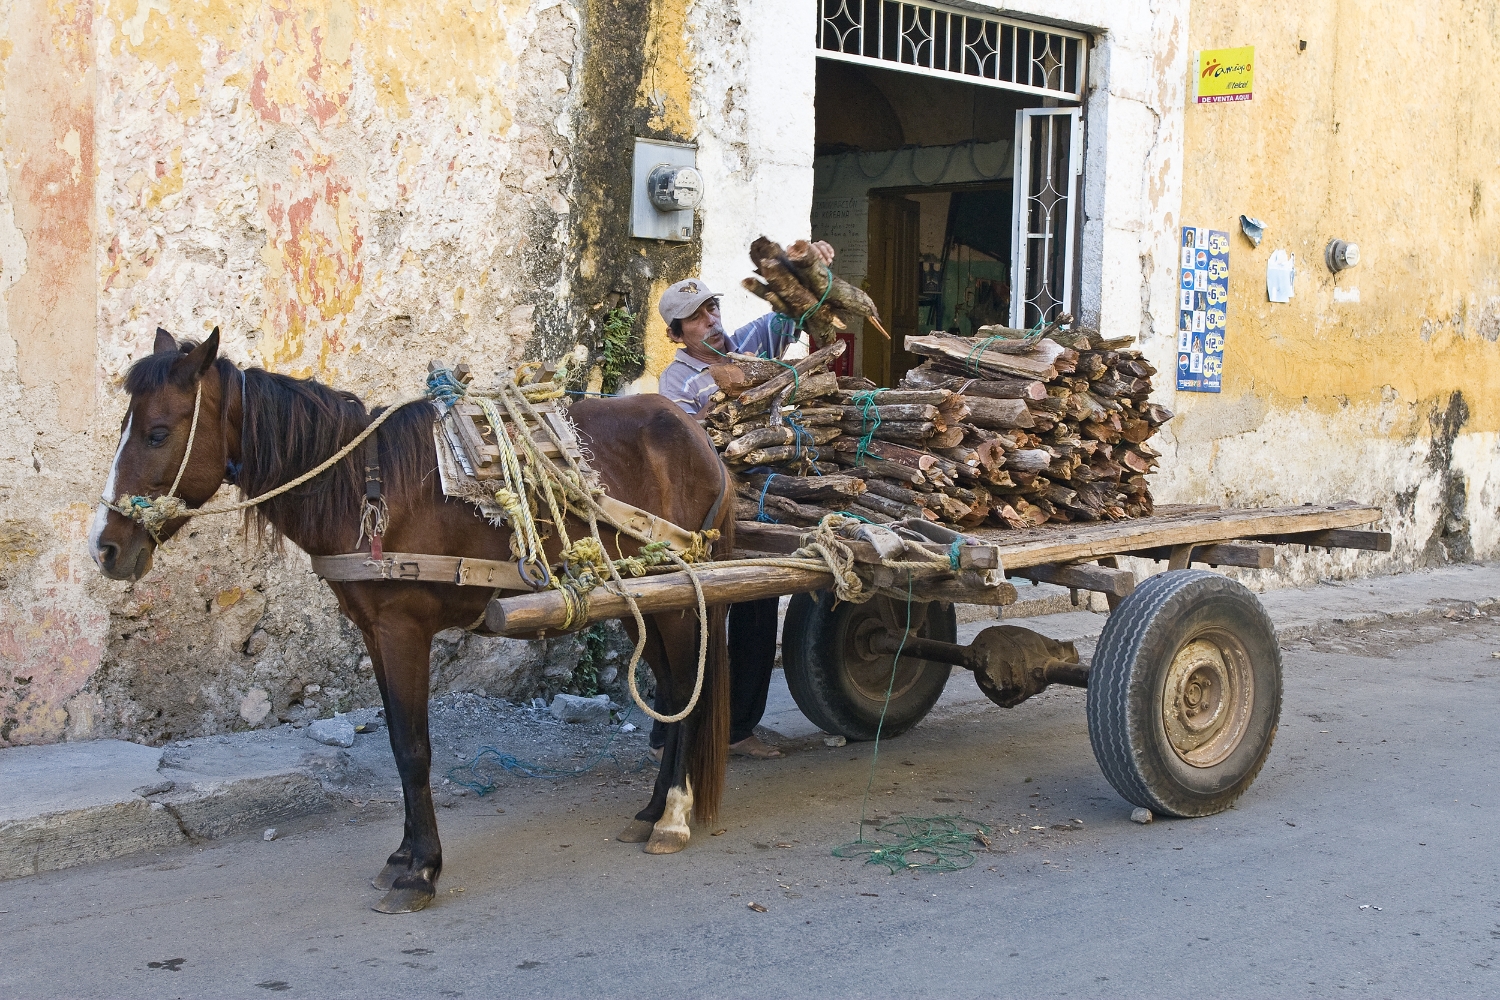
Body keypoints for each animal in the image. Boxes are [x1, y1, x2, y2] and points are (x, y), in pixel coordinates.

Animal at [87, 329, 732, 917]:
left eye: (158, 433)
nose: (105, 549)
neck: (362, 489)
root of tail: (698, 437)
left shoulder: (403, 630)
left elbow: (414, 748)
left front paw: (421, 871)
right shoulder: (374, 632)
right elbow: (398, 741)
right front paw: (402, 856)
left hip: (683, 598)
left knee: (688, 695)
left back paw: (673, 816)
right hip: (642, 601)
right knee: (672, 691)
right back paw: (651, 809)